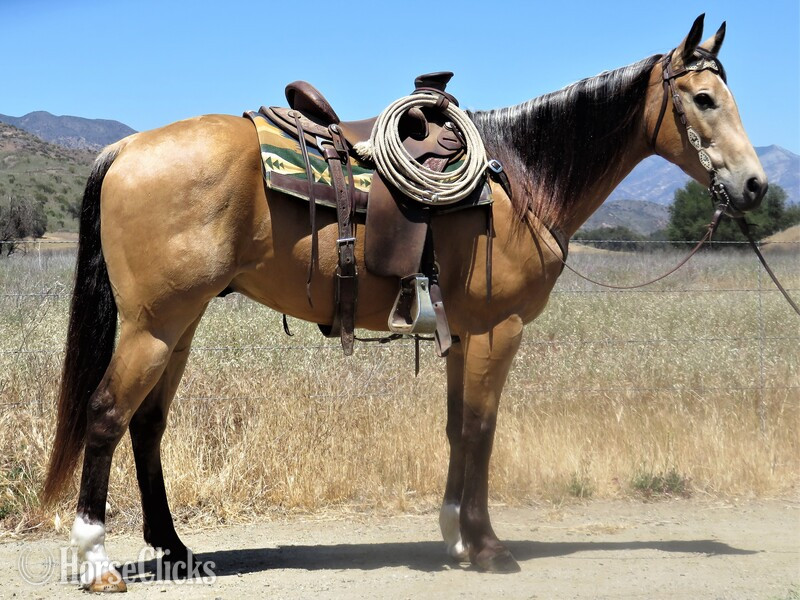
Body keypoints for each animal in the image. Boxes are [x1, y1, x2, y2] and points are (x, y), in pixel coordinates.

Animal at [41, 14, 766, 591]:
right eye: (704, 98)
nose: (755, 185)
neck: (517, 180)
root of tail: (127, 147)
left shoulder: (464, 335)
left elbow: (456, 429)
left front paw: (455, 537)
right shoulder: (499, 331)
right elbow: (482, 430)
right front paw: (488, 546)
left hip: (180, 323)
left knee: (147, 424)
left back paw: (175, 548)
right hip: (153, 325)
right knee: (106, 415)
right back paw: (96, 560)